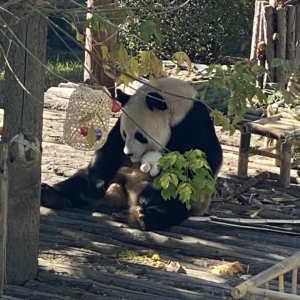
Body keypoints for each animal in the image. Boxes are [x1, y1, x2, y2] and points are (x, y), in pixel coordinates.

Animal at [40, 77, 223, 230]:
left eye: (140, 136)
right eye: (125, 134)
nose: (128, 153)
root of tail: (125, 198)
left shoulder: (195, 124)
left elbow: (201, 165)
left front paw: (147, 197)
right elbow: (110, 146)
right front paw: (96, 186)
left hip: (190, 198)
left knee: (172, 206)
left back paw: (143, 216)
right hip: (115, 174)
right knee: (79, 182)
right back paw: (50, 194)